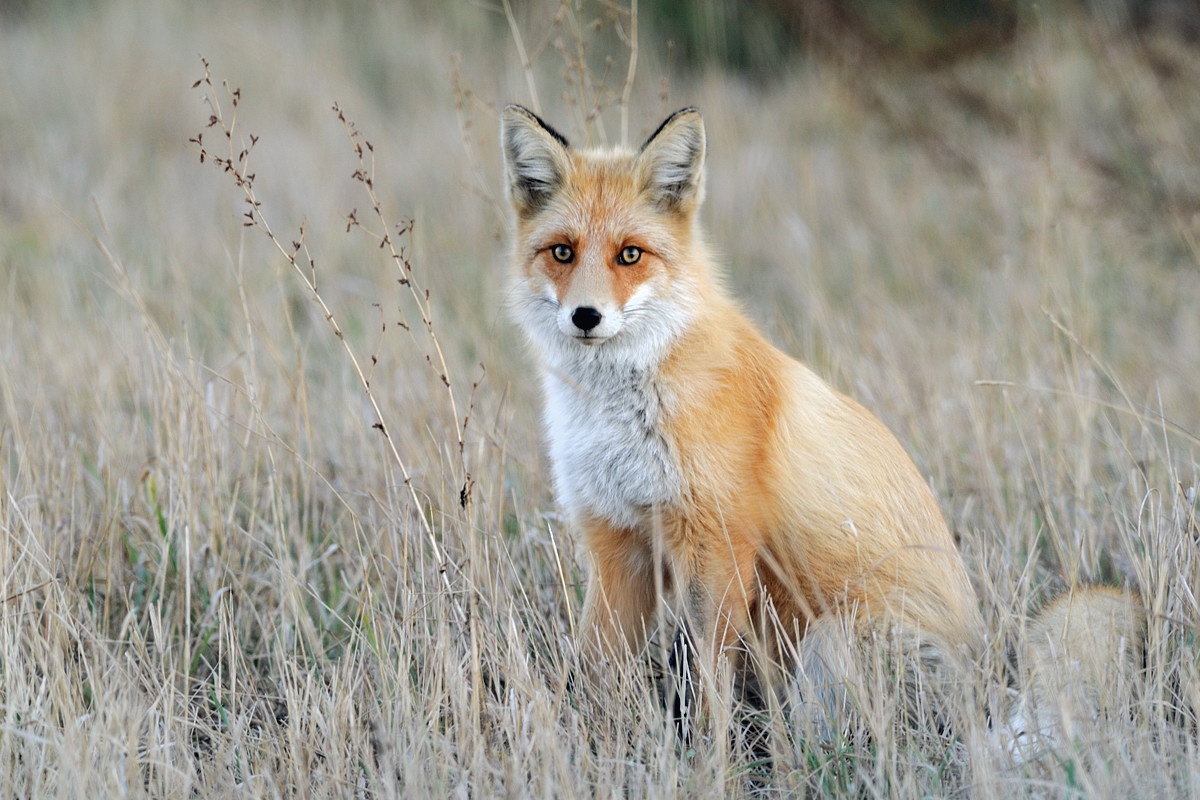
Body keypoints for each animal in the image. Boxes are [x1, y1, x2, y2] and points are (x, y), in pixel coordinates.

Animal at [496, 104, 1142, 738]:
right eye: (562, 251)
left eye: (629, 254)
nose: (586, 316)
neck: (619, 412)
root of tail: (986, 680)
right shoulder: (617, 543)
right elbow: (592, 669)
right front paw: (581, 742)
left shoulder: (715, 542)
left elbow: (704, 678)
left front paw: (704, 754)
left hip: (829, 648)